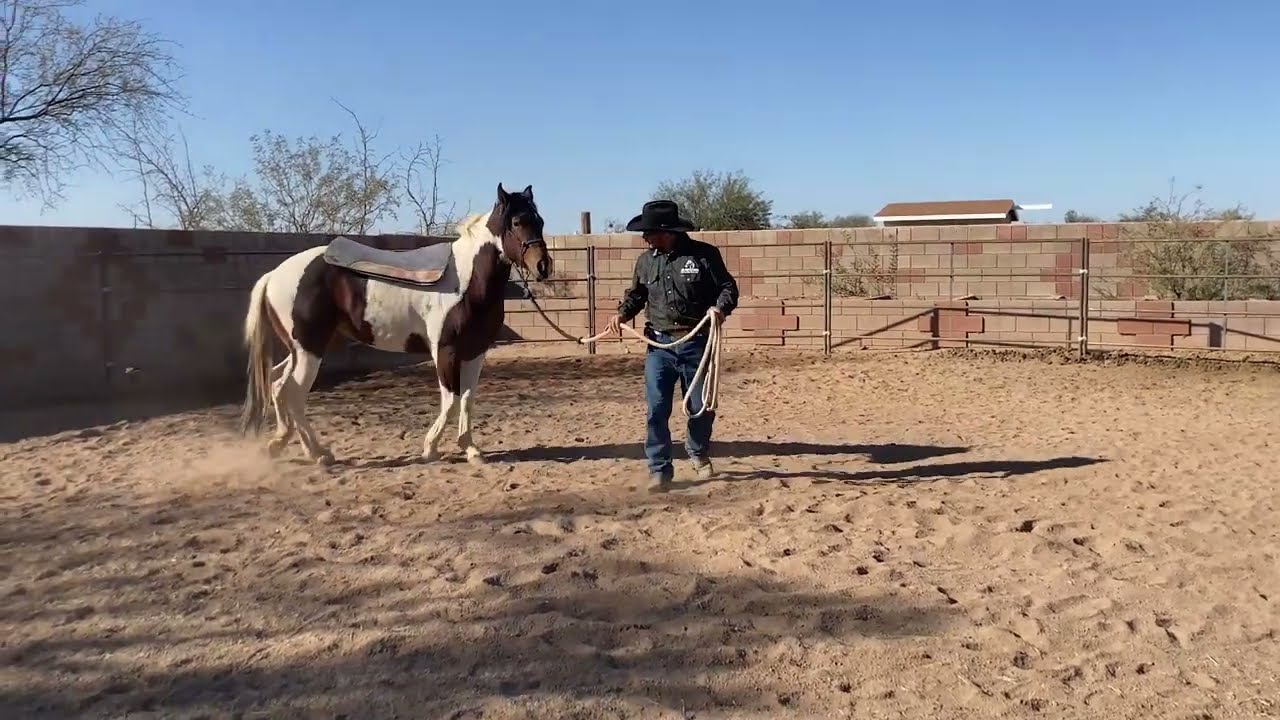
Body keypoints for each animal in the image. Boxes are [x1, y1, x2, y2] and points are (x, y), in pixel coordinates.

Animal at [237, 182, 552, 466]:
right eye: (516, 222)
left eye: (539, 221)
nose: (543, 266)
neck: (467, 281)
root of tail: (274, 275)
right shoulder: (445, 351)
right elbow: (450, 401)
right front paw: (430, 448)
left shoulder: (475, 352)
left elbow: (467, 399)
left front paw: (471, 449)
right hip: (308, 351)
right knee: (293, 394)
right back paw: (319, 453)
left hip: (303, 349)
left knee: (277, 385)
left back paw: (284, 443)